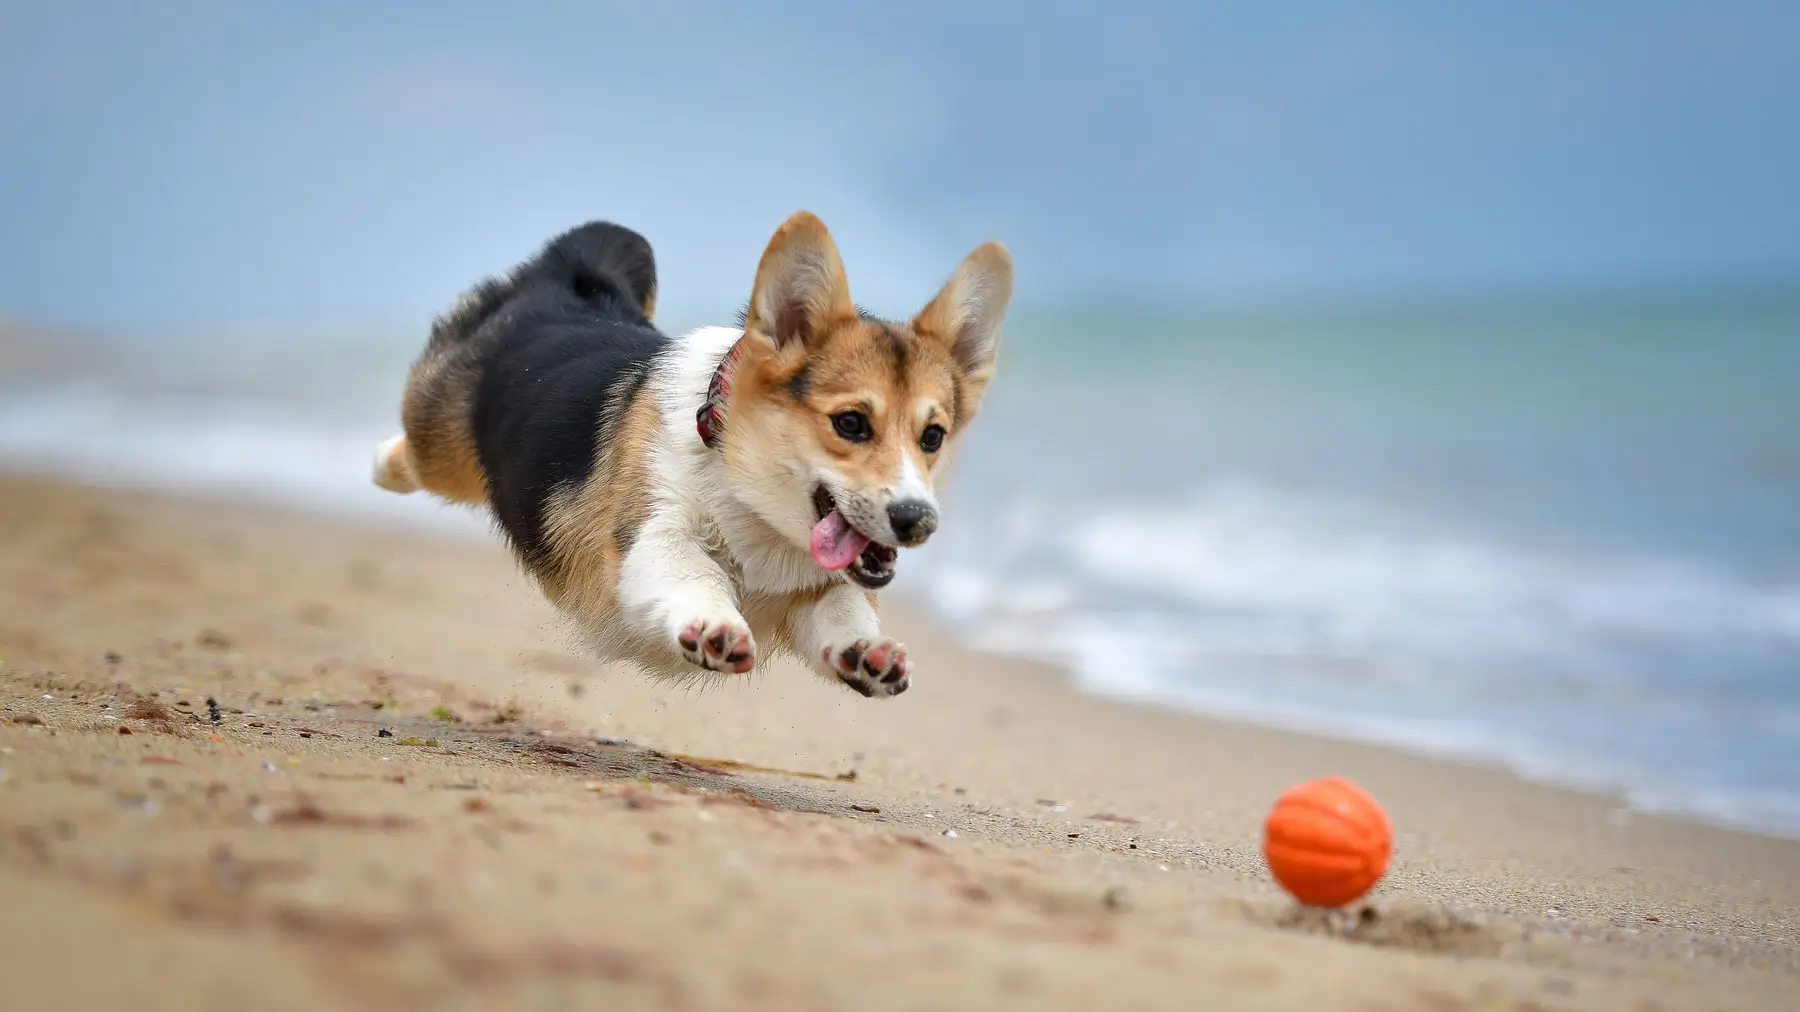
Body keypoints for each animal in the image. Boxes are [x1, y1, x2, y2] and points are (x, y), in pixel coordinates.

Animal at [374, 212, 1015, 698]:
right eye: (851, 423)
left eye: (932, 437)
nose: (918, 521)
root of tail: (567, 278)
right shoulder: (648, 534)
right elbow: (693, 569)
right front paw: (716, 627)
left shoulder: (815, 590)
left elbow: (843, 606)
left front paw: (870, 652)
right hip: (441, 446)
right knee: (410, 449)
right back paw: (380, 466)